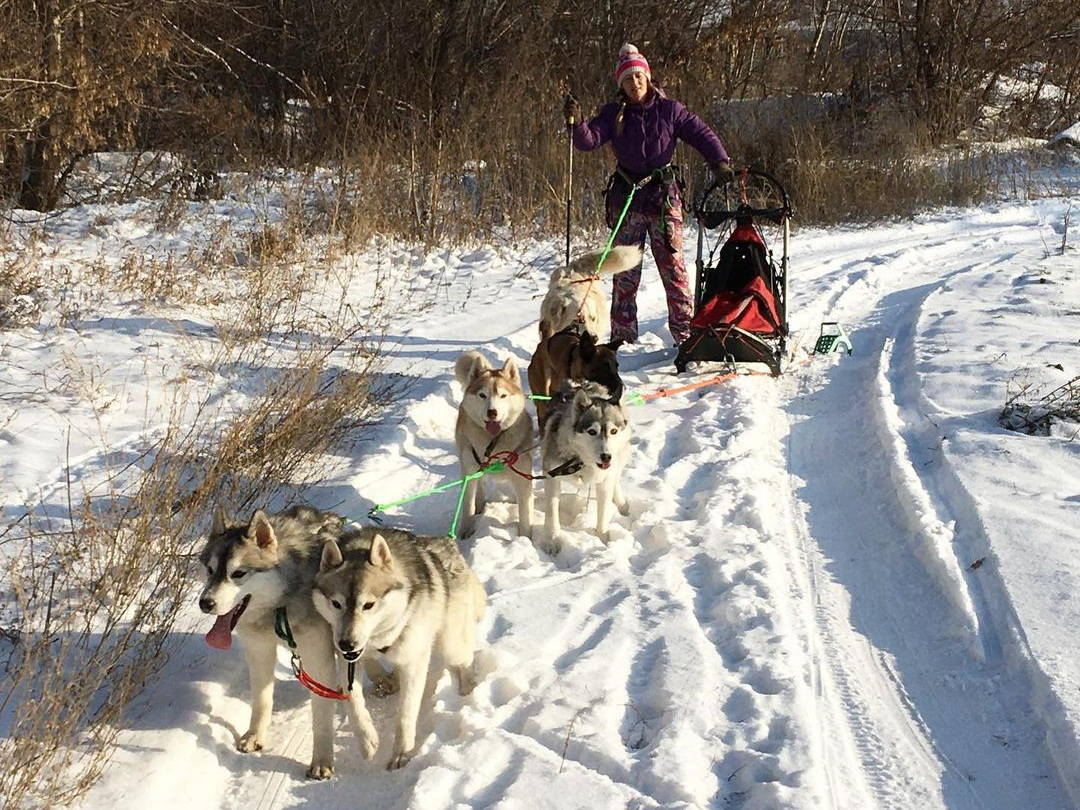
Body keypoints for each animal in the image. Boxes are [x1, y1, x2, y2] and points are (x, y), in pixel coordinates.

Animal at [199, 507, 380, 781]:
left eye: (238, 573)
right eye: (210, 570)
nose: (205, 603)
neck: (279, 605)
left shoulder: (319, 660)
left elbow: (322, 716)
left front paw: (321, 760)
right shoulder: (259, 651)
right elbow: (261, 700)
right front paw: (255, 735)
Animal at [311, 529, 483, 768]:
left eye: (368, 605)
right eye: (336, 604)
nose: (347, 643)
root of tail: (447, 543)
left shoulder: (414, 660)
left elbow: (406, 713)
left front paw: (402, 752)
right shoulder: (348, 659)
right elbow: (353, 699)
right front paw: (366, 740)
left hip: (451, 644)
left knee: (465, 660)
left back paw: (466, 688)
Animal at [540, 384, 630, 557]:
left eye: (613, 431)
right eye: (592, 431)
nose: (606, 456)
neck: (582, 461)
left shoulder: (604, 481)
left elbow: (603, 512)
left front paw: (602, 539)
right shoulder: (551, 477)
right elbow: (552, 512)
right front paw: (552, 539)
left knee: (615, 478)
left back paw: (621, 503)